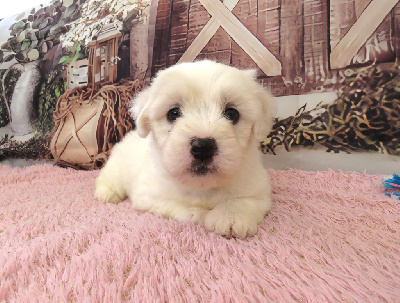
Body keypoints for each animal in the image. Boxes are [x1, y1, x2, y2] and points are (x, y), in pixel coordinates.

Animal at [94, 60, 276, 240]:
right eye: (173, 113)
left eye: (232, 113)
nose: (203, 147)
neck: (203, 186)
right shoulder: (150, 196)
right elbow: (185, 208)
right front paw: (201, 213)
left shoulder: (259, 189)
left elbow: (244, 200)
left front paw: (230, 217)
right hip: (116, 168)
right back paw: (107, 194)